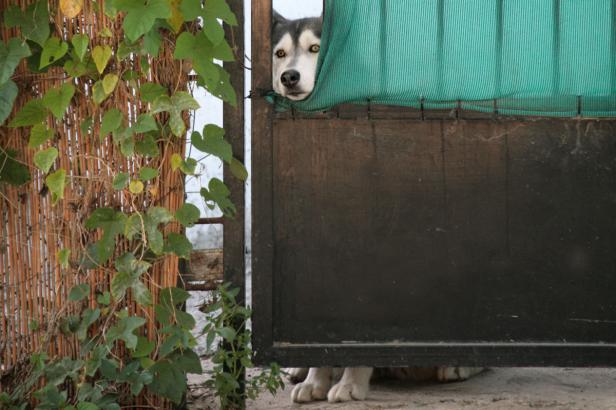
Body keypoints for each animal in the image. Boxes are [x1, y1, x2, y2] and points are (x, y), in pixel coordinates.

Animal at [272, 9, 484, 404]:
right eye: (280, 54)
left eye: (315, 48)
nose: (288, 76)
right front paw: (315, 379)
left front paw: (350, 384)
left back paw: (456, 366)